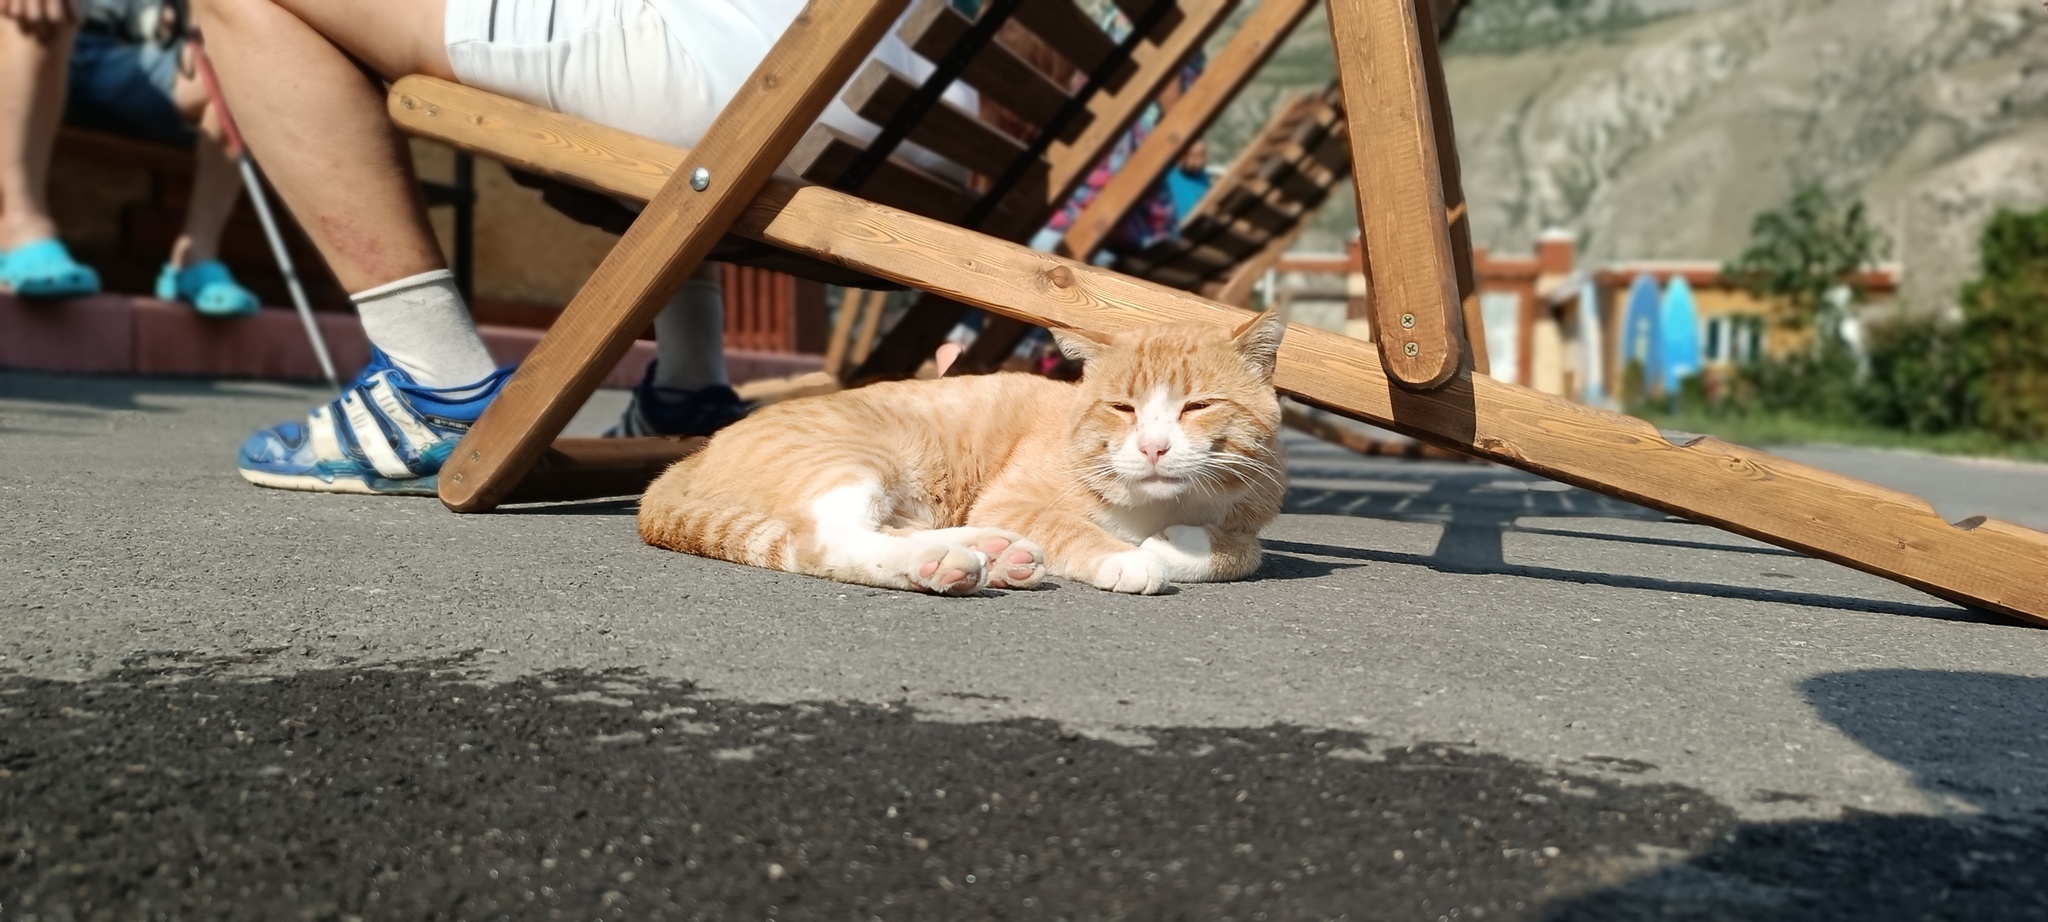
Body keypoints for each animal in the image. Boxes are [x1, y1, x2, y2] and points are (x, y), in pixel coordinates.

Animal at [630, 309, 1286, 598]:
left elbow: (1244, 551)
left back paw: (992, 553)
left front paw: (1175, 546)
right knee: (821, 541)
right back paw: (942, 564)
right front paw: (1129, 556)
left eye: (1197, 406)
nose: (1153, 446)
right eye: (1122, 408)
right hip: (859, 461)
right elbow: (1078, 530)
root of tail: (687, 460)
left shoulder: (1252, 509)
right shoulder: (1013, 499)